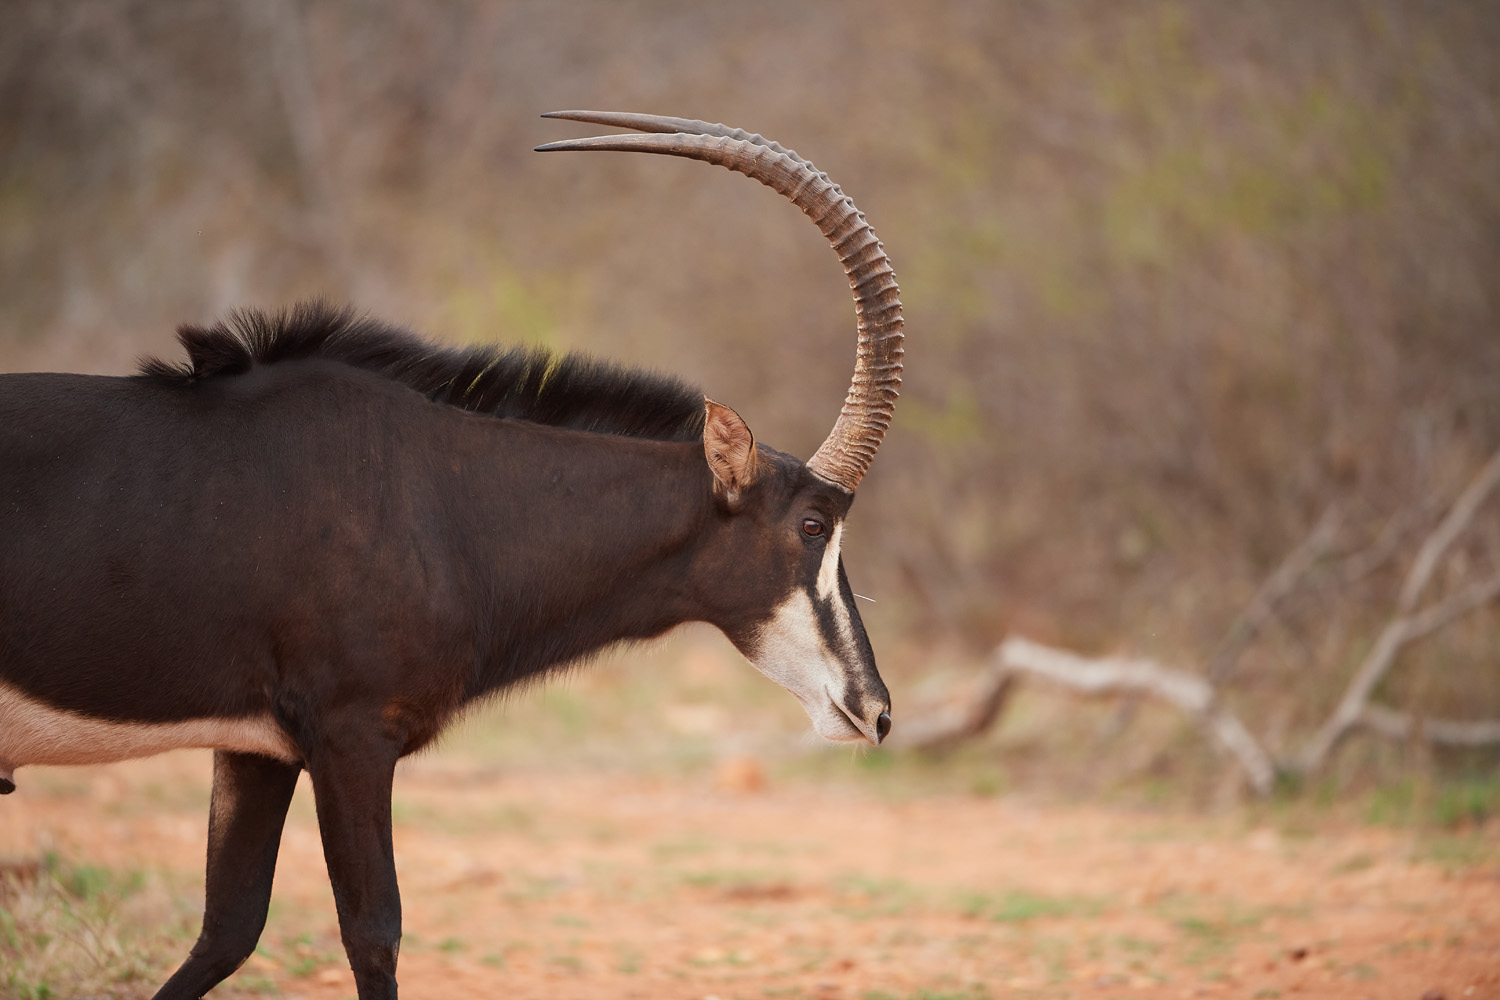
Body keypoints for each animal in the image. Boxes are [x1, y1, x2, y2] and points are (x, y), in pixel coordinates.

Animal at [0, 113, 900, 995]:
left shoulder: (257, 747)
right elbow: (374, 933)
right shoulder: (352, 738)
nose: (877, 710)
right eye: (813, 524)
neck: (440, 500)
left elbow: (226, 931)